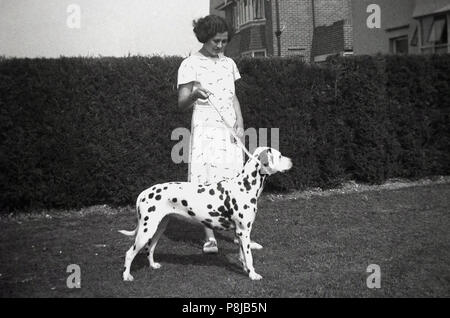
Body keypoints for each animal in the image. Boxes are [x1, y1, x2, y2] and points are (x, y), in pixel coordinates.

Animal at [119, 147, 294, 280]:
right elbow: (249, 257)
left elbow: (242, 255)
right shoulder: (244, 232)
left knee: (150, 248)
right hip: (146, 230)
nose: (292, 161)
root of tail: (143, 193)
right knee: (129, 253)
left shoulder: (240, 232)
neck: (245, 186)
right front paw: (253, 274)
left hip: (158, 228)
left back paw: (153, 265)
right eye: (279, 155)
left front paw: (245, 269)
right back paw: (126, 276)